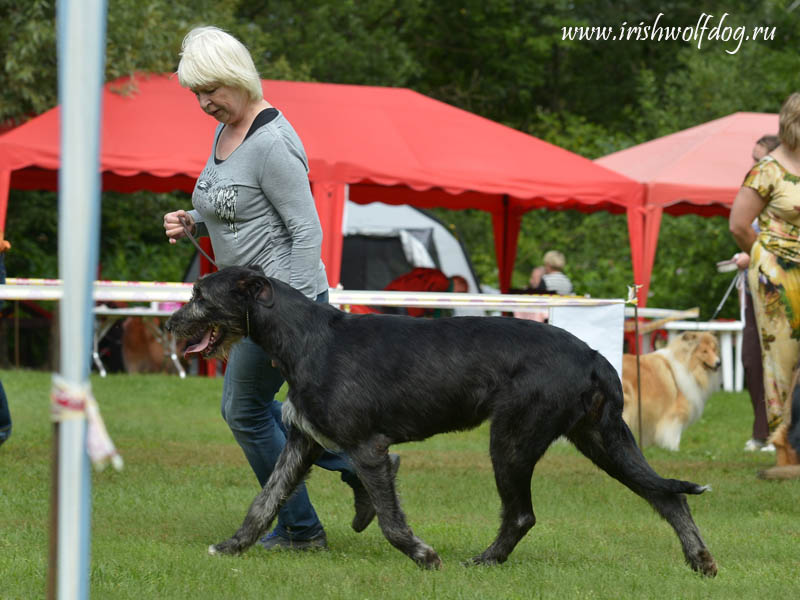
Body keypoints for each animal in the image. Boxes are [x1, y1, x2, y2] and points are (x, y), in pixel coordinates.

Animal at [166, 268, 716, 576]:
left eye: (199, 294)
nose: (169, 322)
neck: (304, 338)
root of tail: (595, 356)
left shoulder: (368, 448)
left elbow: (391, 521)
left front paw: (423, 556)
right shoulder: (302, 442)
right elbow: (264, 500)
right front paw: (232, 546)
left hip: (513, 438)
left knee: (521, 514)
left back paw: (485, 562)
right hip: (602, 437)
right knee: (665, 495)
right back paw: (700, 561)